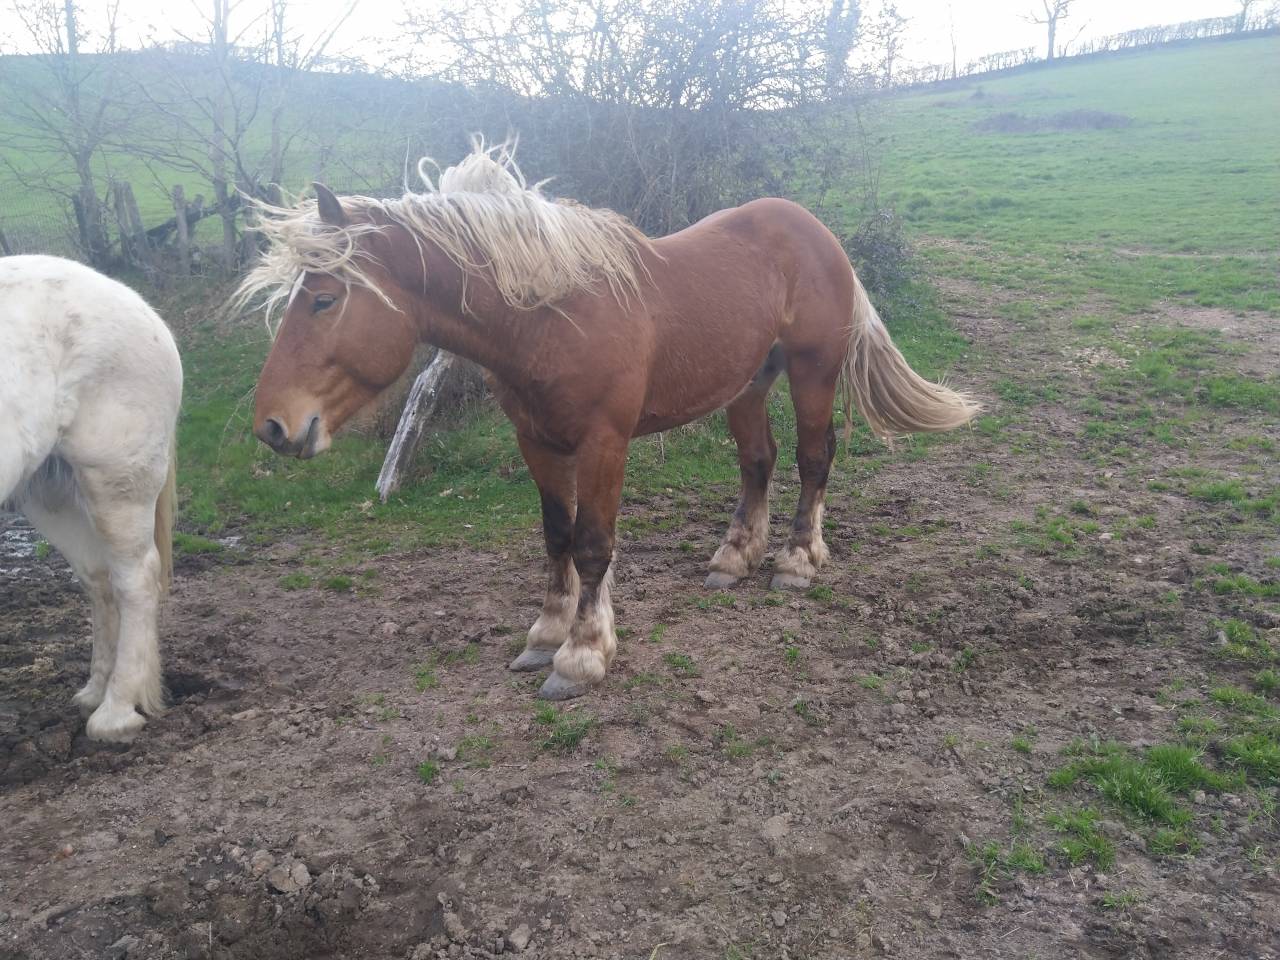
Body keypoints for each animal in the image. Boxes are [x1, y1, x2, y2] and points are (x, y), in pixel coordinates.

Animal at [1, 255, 182, 742]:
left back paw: (115, 711)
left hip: (115, 484)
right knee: (99, 580)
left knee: (135, 579)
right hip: (51, 496)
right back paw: (97, 691)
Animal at [241, 140, 978, 701]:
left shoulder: (604, 441)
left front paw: (583, 654)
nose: (273, 426)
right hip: (747, 382)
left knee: (813, 459)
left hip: (811, 372)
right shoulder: (537, 441)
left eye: (325, 299)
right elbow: (556, 536)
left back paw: (797, 561)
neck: (550, 316)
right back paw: (734, 558)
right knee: (758, 461)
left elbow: (594, 545)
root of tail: (815, 230)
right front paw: (545, 634)